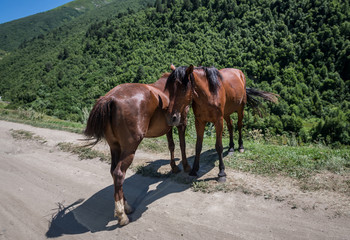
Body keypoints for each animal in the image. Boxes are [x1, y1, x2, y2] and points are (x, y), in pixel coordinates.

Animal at [83, 74, 190, 226]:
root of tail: (110, 98)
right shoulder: (181, 121)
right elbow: (182, 144)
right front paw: (185, 166)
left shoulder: (169, 126)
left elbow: (171, 145)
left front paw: (174, 167)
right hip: (129, 148)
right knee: (119, 173)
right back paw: (122, 215)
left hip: (115, 146)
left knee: (113, 172)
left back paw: (126, 206)